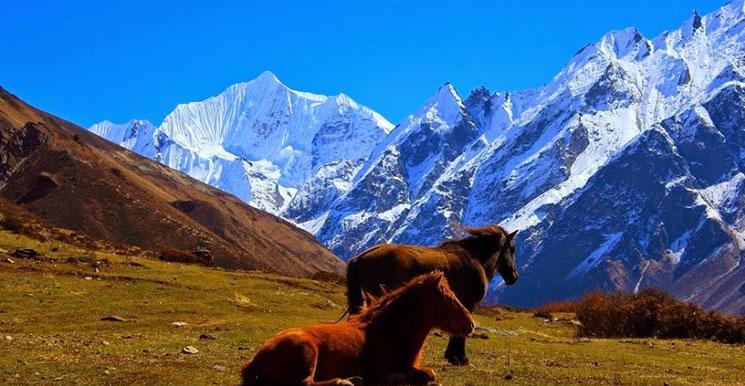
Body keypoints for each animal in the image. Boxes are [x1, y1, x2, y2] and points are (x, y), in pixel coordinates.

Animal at [241, 272, 474, 386]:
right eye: (447, 297)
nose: (471, 325)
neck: (390, 331)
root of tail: (256, 359)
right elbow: (428, 374)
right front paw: (395, 379)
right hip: (307, 352)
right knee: (305, 383)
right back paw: (345, 381)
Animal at [344, 223, 516, 364]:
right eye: (512, 249)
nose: (514, 276)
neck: (476, 258)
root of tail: (360, 258)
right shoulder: (468, 303)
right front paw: (459, 358)